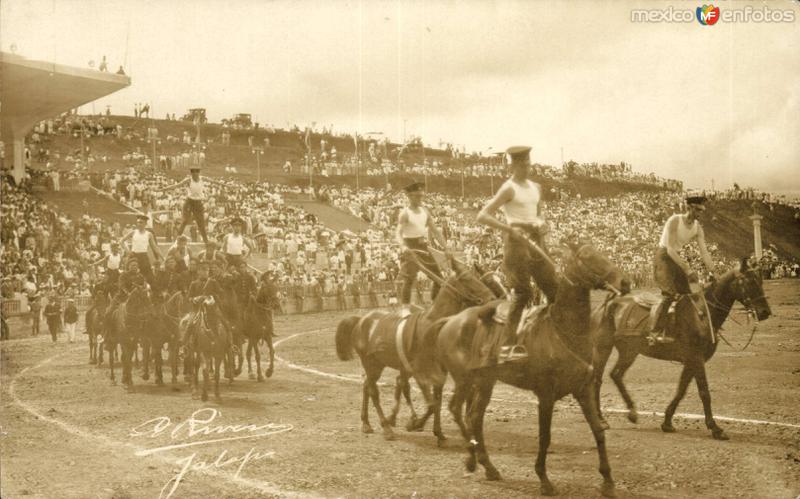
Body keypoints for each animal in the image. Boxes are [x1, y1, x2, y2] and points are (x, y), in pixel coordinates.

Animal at [336, 258, 500, 446]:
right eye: (467, 279)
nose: (492, 299)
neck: (433, 326)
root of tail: (361, 320)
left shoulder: (439, 372)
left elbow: (437, 401)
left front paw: (439, 433)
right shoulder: (420, 371)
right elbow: (431, 404)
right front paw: (415, 424)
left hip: (377, 366)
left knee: (368, 386)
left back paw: (367, 423)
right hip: (371, 364)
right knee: (374, 392)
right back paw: (386, 427)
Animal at [418, 242, 632, 496]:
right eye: (588, 257)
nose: (625, 282)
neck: (564, 332)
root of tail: (451, 320)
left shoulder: (583, 390)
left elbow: (598, 430)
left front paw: (607, 481)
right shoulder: (546, 395)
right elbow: (545, 436)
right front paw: (544, 480)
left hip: (485, 382)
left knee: (474, 417)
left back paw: (488, 467)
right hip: (465, 380)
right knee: (457, 410)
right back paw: (470, 458)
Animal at [592, 258, 768, 442]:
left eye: (760, 280)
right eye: (749, 281)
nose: (765, 312)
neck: (702, 314)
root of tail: (609, 302)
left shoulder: (691, 361)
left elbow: (681, 390)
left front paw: (667, 422)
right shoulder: (697, 359)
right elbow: (704, 392)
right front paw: (715, 428)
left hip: (629, 351)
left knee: (616, 375)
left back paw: (632, 413)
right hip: (603, 348)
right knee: (597, 380)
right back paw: (601, 419)